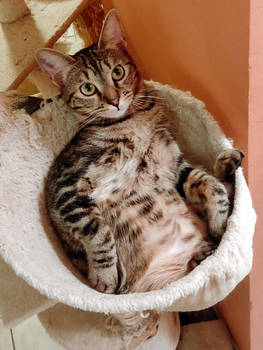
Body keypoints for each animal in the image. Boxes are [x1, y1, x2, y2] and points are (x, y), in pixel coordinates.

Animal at [33, 10, 243, 342]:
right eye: (87, 88)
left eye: (117, 73)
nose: (114, 100)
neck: (133, 121)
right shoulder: (66, 189)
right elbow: (97, 230)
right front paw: (104, 275)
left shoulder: (174, 166)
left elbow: (209, 185)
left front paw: (221, 222)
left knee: (221, 190)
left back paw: (227, 165)